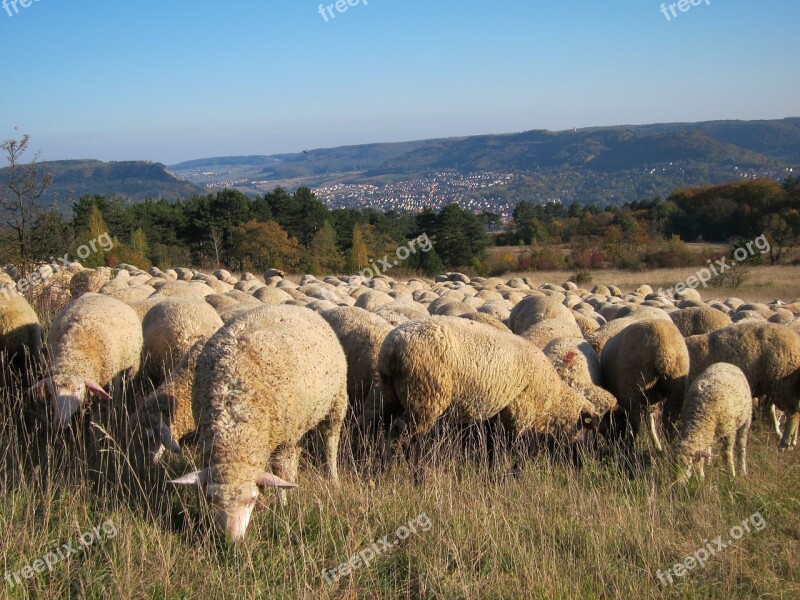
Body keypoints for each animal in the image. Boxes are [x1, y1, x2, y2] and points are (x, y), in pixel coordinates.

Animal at [170, 308, 348, 540]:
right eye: (211, 499)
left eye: (253, 499)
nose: (230, 540)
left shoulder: (282, 439)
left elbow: (280, 471)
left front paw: (282, 504)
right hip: (298, 423)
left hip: (336, 402)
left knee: (330, 442)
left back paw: (332, 478)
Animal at [378, 316, 596, 480]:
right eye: (585, 430)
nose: (582, 464)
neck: (553, 401)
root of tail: (393, 347)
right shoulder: (522, 413)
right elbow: (525, 450)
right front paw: (513, 475)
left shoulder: (500, 415)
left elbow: (494, 446)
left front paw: (493, 470)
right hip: (425, 397)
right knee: (409, 439)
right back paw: (416, 476)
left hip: (392, 397)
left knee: (389, 431)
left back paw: (383, 469)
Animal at [600, 318, 688, 450]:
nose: (612, 442)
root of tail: (664, 349)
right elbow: (650, 419)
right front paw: (656, 443)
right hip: (677, 387)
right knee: (669, 419)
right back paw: (665, 446)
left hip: (633, 387)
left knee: (636, 423)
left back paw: (632, 447)